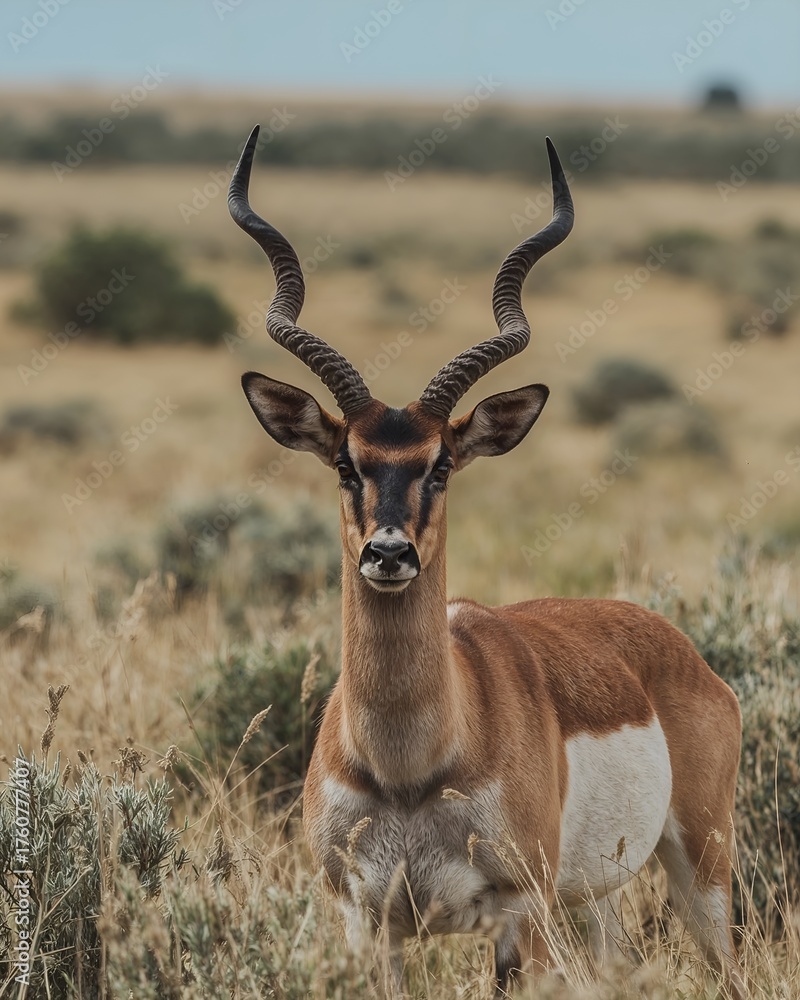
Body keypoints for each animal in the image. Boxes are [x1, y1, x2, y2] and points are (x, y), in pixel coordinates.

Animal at [229, 125, 745, 999]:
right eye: (346, 463)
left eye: (441, 464)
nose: (389, 553)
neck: (410, 766)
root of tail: (681, 651)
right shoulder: (367, 922)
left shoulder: (516, 915)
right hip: (596, 899)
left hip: (699, 867)